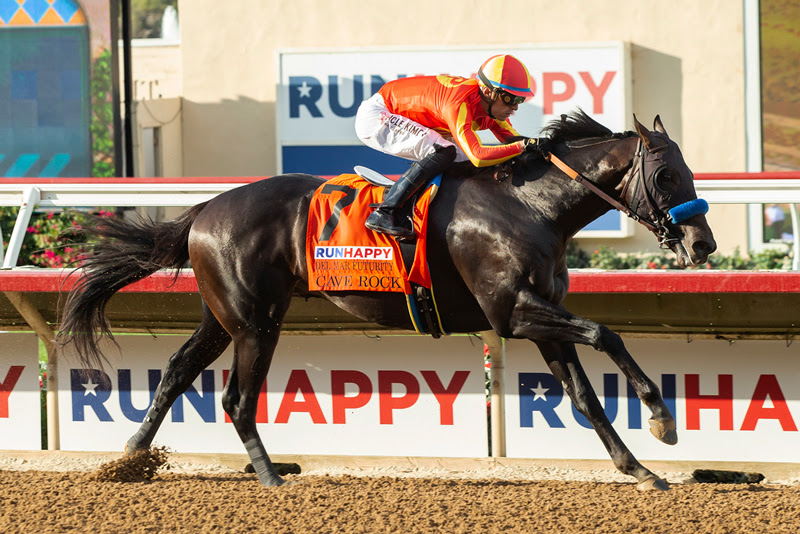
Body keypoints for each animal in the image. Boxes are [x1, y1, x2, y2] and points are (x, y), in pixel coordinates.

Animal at [58, 110, 716, 491]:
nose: (702, 243)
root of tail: (203, 210)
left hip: (223, 316)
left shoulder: (542, 319)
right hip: (255, 321)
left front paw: (641, 470)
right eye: (666, 175)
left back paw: (129, 458)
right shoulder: (512, 313)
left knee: (176, 370)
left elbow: (585, 395)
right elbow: (608, 333)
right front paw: (662, 419)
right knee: (236, 399)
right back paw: (271, 478)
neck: (531, 206)